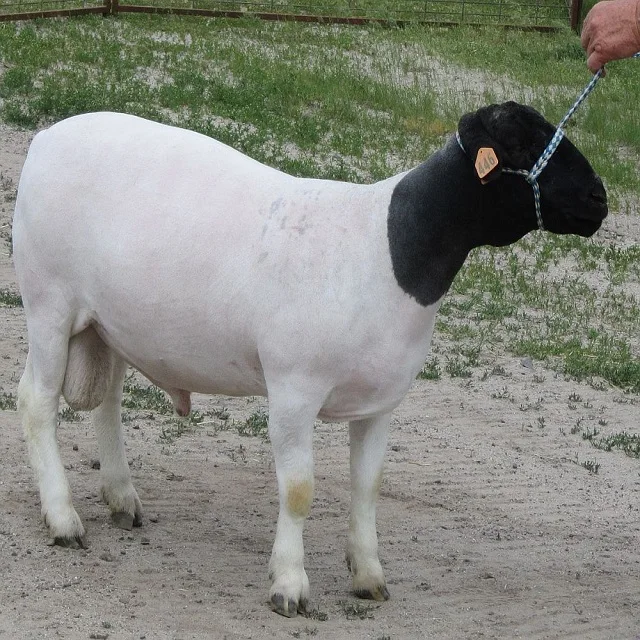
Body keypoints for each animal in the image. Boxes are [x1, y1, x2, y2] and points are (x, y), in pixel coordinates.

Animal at [12, 101, 607, 617]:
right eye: (519, 140)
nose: (599, 199)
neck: (389, 250)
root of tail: (47, 138)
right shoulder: (293, 390)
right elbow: (299, 492)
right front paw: (290, 586)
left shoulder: (381, 403)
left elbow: (367, 488)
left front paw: (369, 577)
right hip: (48, 301)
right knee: (36, 402)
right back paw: (63, 520)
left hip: (108, 324)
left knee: (106, 402)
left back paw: (121, 500)